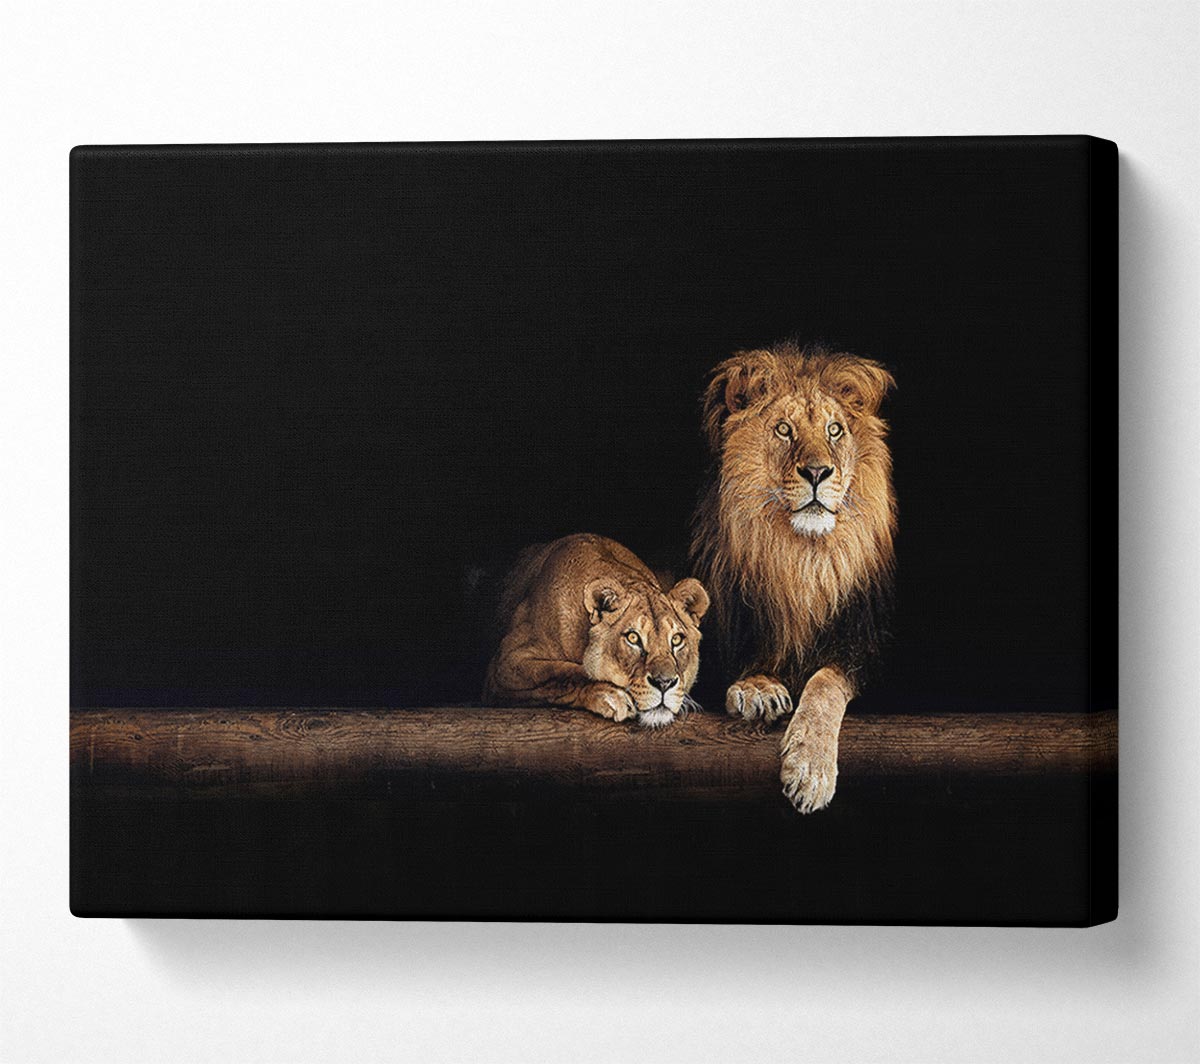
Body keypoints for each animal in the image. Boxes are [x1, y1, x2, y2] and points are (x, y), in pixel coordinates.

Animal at [484, 534, 710, 728]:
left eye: (677, 640)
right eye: (633, 637)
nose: (664, 683)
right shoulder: (505, 663)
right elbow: (561, 674)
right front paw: (612, 694)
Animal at [690, 341, 896, 812]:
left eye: (835, 430)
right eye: (784, 430)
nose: (818, 472)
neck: (801, 559)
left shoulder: (865, 648)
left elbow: (825, 683)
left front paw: (811, 769)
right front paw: (758, 688)